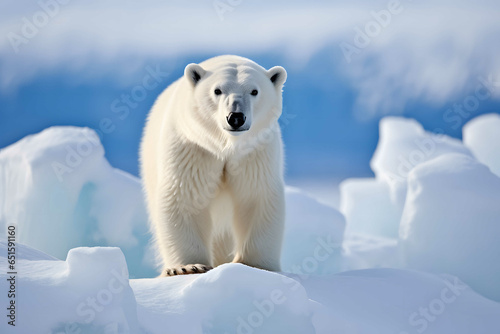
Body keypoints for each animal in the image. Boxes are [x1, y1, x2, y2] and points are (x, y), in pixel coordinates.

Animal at [141, 54, 288, 276]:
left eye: (254, 91)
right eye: (217, 90)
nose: (235, 117)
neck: (226, 146)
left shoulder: (254, 153)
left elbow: (256, 197)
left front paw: (255, 265)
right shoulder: (194, 148)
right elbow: (185, 197)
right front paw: (188, 267)